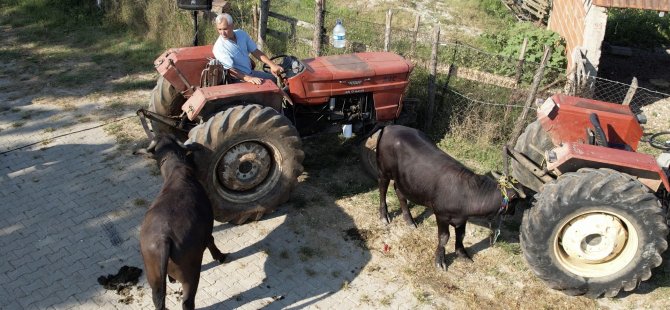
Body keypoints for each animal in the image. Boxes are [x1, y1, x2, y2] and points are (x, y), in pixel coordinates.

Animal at [138, 135, 227, 310]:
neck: (177, 172)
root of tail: (163, 240)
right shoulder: (207, 230)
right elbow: (211, 240)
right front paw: (219, 256)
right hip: (190, 275)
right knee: (187, 301)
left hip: (154, 278)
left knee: (158, 299)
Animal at [376, 124, 524, 270]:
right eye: (516, 201)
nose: (513, 212)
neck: (466, 193)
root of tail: (390, 127)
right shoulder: (441, 215)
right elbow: (444, 237)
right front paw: (440, 260)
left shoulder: (463, 218)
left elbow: (461, 235)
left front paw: (462, 254)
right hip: (384, 171)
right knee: (382, 189)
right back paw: (384, 216)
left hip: (402, 179)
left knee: (399, 192)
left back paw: (410, 221)